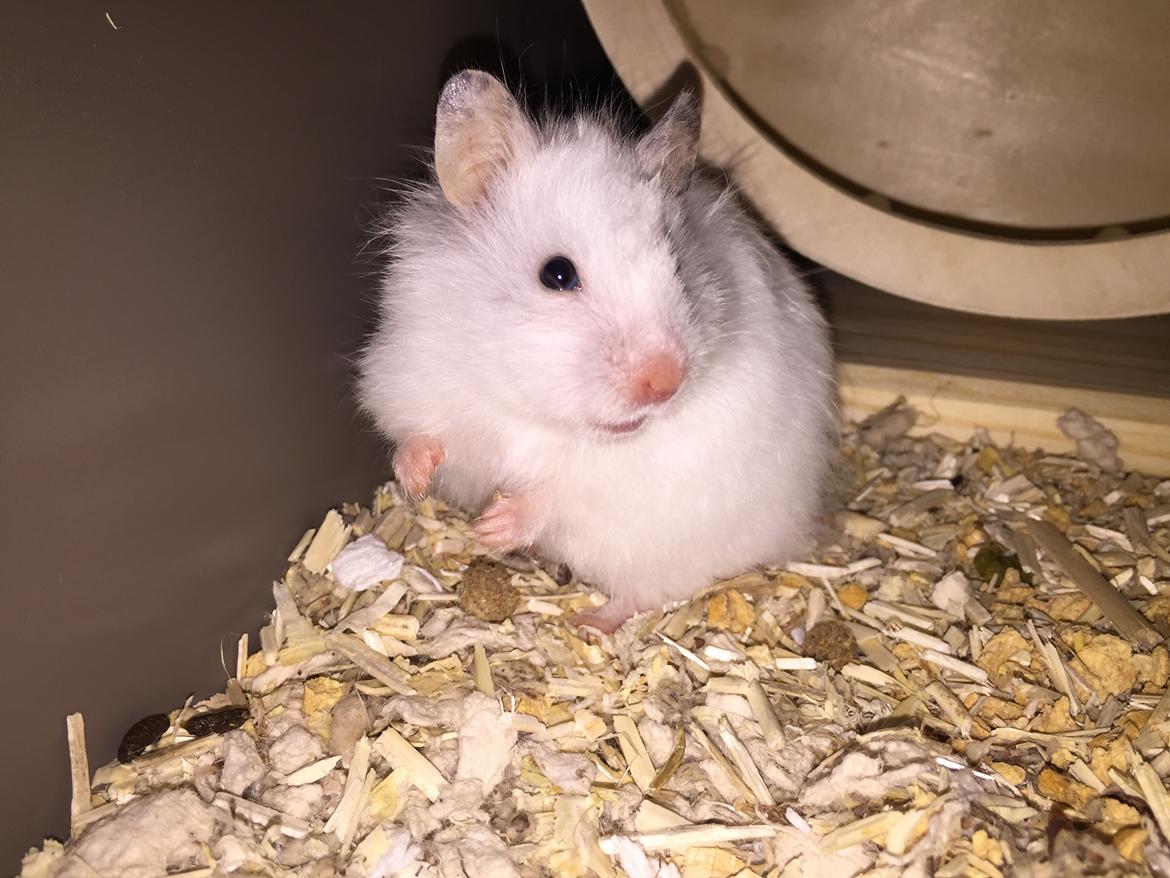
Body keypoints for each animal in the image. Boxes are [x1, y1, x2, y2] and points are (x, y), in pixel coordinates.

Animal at [358, 70, 837, 631]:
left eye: (679, 269)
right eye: (557, 274)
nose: (666, 382)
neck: (532, 408)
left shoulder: (616, 479)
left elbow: (556, 494)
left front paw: (492, 527)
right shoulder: (410, 374)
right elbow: (417, 434)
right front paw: (416, 482)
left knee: (640, 594)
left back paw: (586, 622)